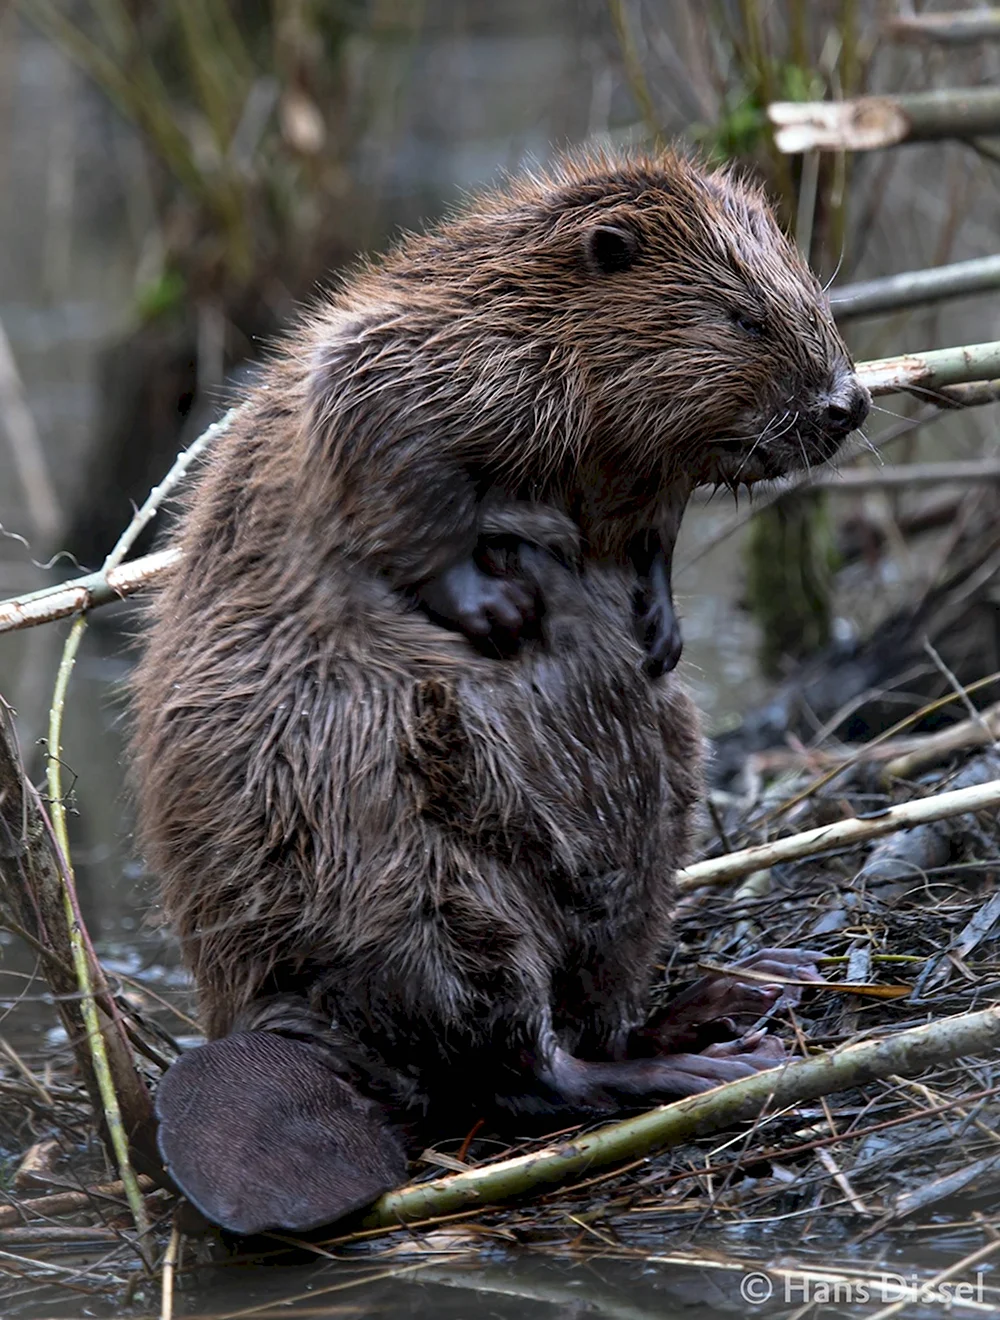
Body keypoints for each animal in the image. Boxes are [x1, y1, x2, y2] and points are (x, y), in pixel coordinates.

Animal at [131, 149, 870, 1230]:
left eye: (808, 290)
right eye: (742, 317)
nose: (846, 404)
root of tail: (285, 1046)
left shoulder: (622, 466)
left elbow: (651, 533)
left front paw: (657, 630)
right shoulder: (422, 353)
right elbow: (386, 461)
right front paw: (501, 602)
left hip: (637, 871)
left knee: (588, 1010)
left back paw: (742, 992)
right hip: (432, 890)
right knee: (518, 1066)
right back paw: (705, 1064)